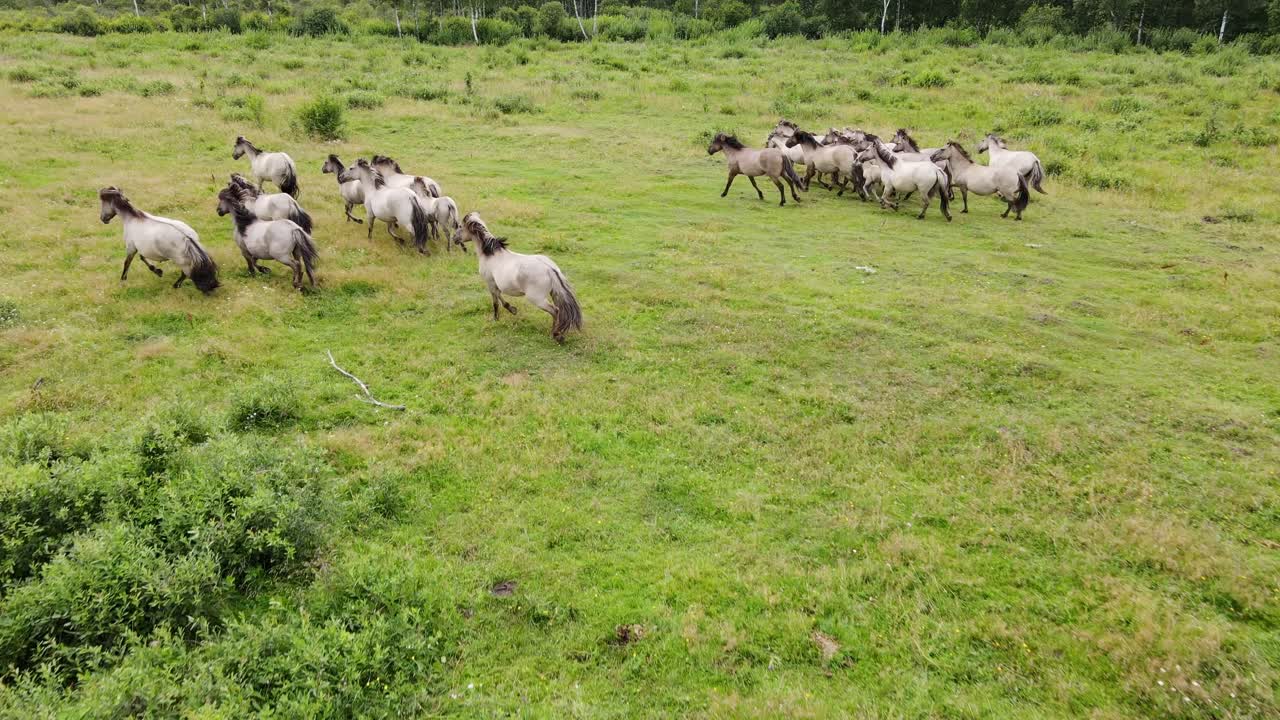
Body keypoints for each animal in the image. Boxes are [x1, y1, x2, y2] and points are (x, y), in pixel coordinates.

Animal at [451, 211, 583, 343]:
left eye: (460, 226)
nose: (454, 239)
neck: (490, 255)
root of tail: (550, 269)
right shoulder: (494, 284)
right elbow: (498, 298)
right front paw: (510, 311)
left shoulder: (490, 283)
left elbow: (496, 301)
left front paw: (501, 315)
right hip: (552, 294)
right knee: (559, 310)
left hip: (536, 299)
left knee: (555, 310)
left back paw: (555, 335)